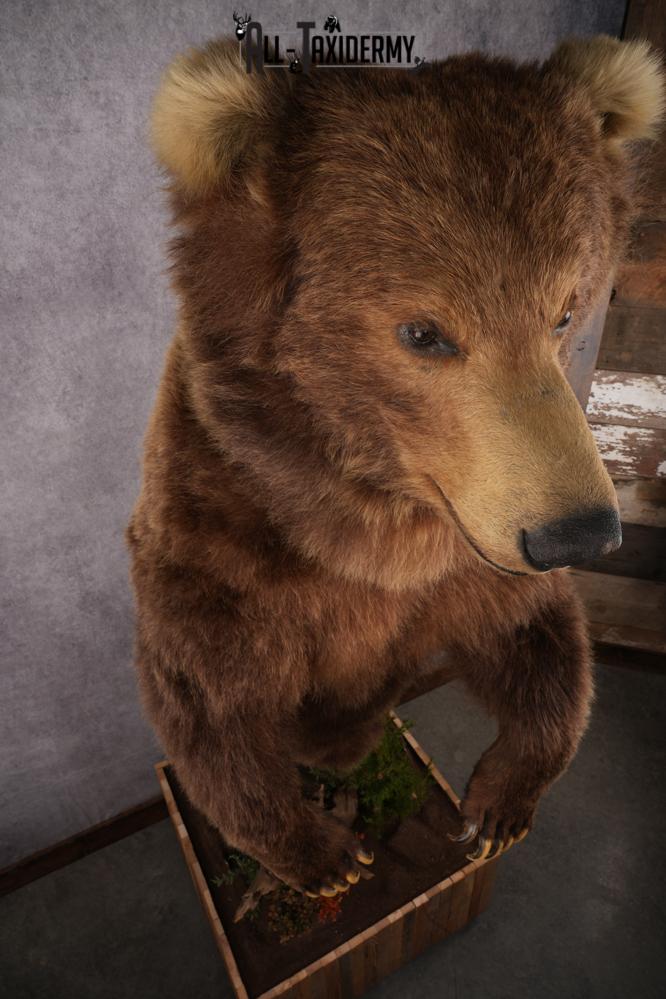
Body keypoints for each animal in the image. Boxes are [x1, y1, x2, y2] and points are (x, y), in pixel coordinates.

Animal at [128, 35, 664, 897]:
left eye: (564, 310)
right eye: (423, 332)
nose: (581, 531)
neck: (372, 528)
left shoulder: (467, 558)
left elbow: (541, 643)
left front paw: (496, 807)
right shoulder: (224, 538)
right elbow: (208, 702)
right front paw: (326, 858)